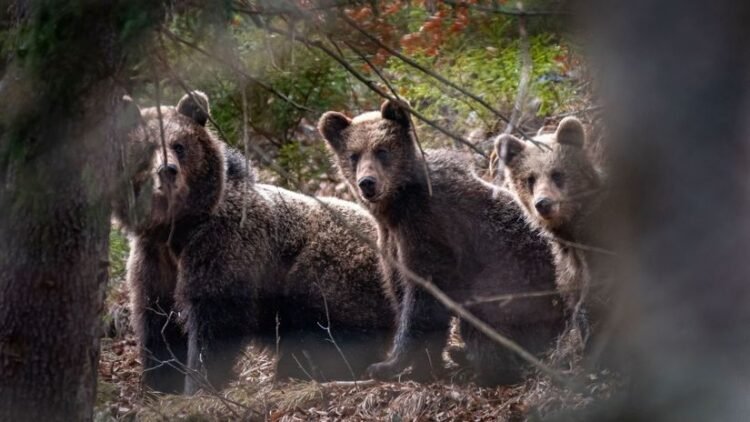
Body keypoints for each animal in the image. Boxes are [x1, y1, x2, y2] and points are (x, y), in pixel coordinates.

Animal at [113, 92, 395, 395]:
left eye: (179, 145)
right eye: (146, 147)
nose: (167, 171)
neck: (177, 229)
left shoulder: (224, 246)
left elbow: (216, 321)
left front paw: (199, 384)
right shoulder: (153, 258)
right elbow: (157, 323)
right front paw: (160, 383)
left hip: (331, 269)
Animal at [318, 100, 566, 386]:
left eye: (382, 150)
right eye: (354, 155)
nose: (367, 183)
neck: (397, 206)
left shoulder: (429, 231)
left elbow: (423, 300)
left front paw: (389, 364)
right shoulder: (391, 243)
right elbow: (401, 293)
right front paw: (424, 365)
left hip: (516, 279)